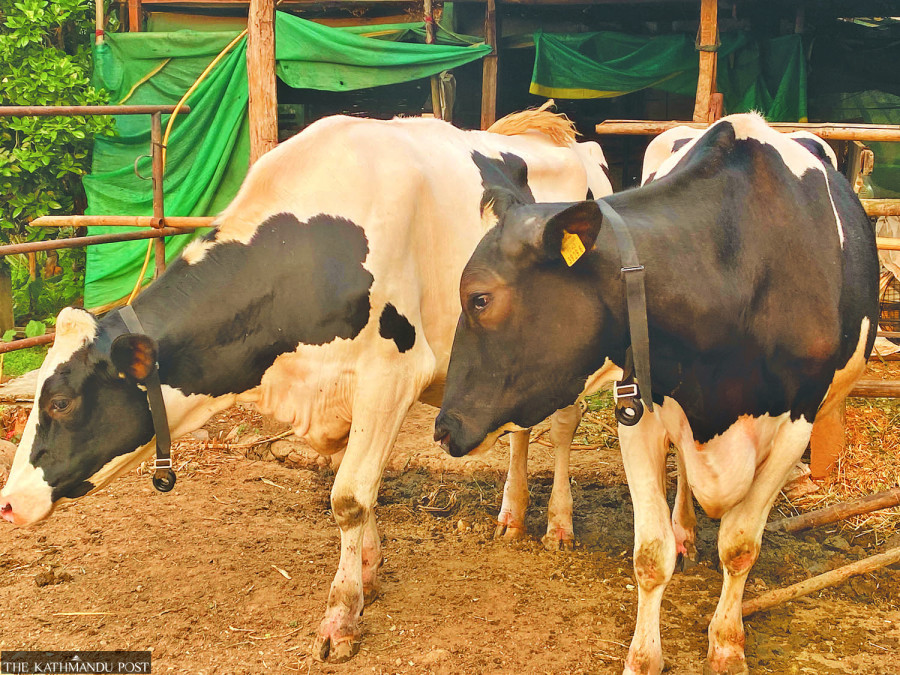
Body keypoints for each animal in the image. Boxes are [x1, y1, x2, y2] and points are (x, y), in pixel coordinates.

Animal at [0, 109, 612, 662]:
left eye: (60, 402)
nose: (7, 504)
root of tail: (558, 135)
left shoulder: (393, 373)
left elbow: (348, 498)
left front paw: (341, 617)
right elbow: (356, 490)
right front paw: (367, 571)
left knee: (562, 425)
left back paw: (558, 524)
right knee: (520, 427)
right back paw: (511, 515)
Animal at [434, 112, 878, 674]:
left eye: (479, 299)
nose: (442, 427)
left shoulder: (797, 422)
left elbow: (740, 545)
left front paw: (727, 643)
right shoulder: (638, 406)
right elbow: (649, 553)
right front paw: (644, 656)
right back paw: (684, 527)